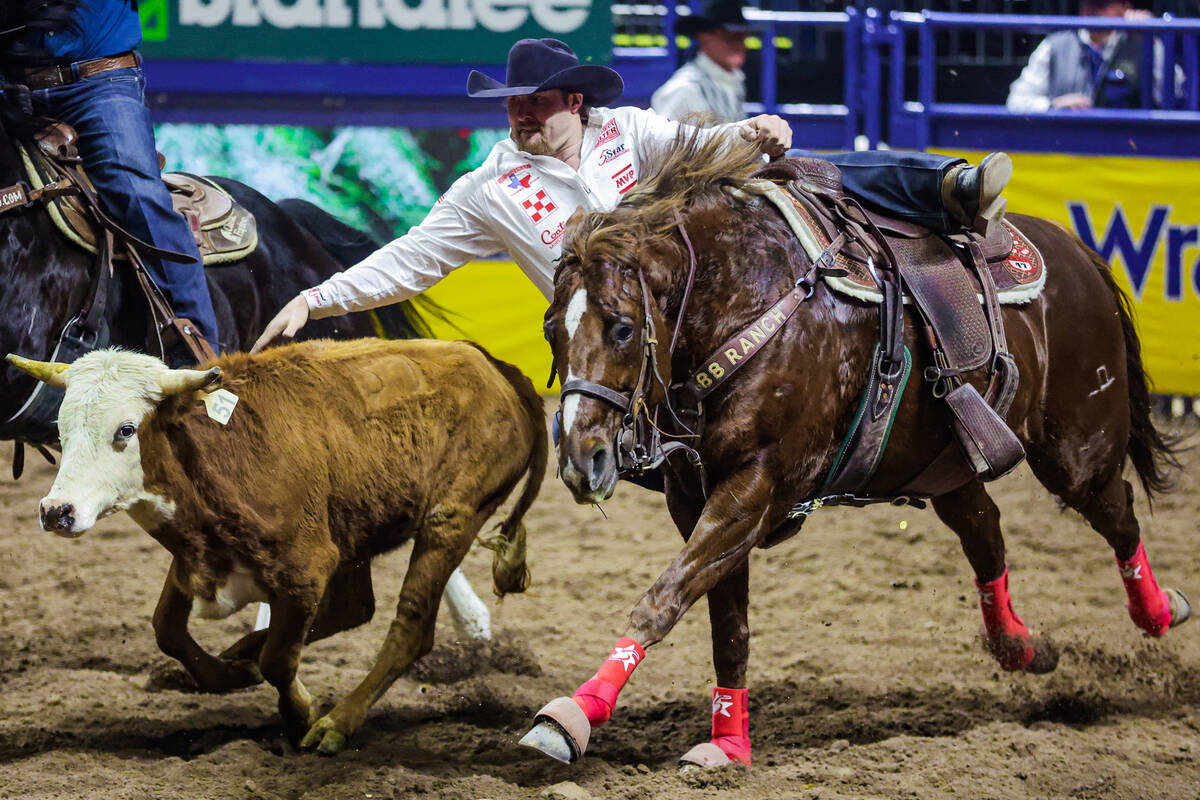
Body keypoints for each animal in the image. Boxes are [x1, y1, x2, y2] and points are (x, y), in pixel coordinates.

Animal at [523, 133, 1190, 767]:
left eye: (623, 327)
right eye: (552, 329)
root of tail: (1078, 253)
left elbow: (661, 601)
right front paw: (728, 743)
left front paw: (571, 717)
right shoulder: (697, 499)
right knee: (986, 530)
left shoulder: (753, 488)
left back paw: (1158, 612)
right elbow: (724, 624)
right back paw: (1020, 647)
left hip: (1078, 452)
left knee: (1118, 512)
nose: (582, 459)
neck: (751, 300)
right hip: (944, 466)